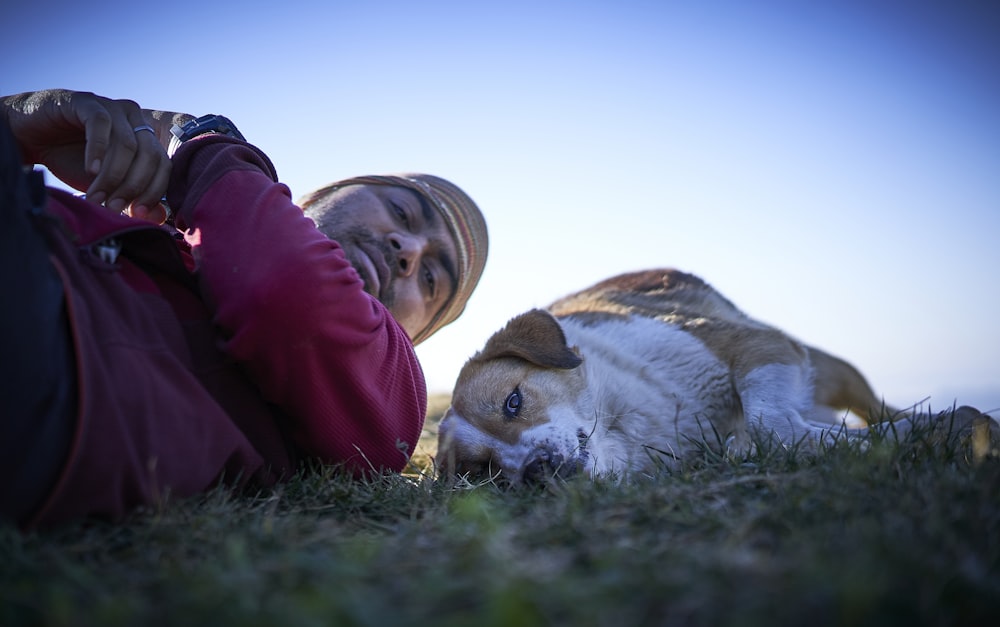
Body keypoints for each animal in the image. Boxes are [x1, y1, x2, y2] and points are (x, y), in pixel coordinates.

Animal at [436, 268, 944, 484]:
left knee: (869, 404)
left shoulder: (758, 347)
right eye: (484, 469)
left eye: (513, 402)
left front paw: (906, 434)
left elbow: (768, 422)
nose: (536, 471)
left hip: (832, 370)